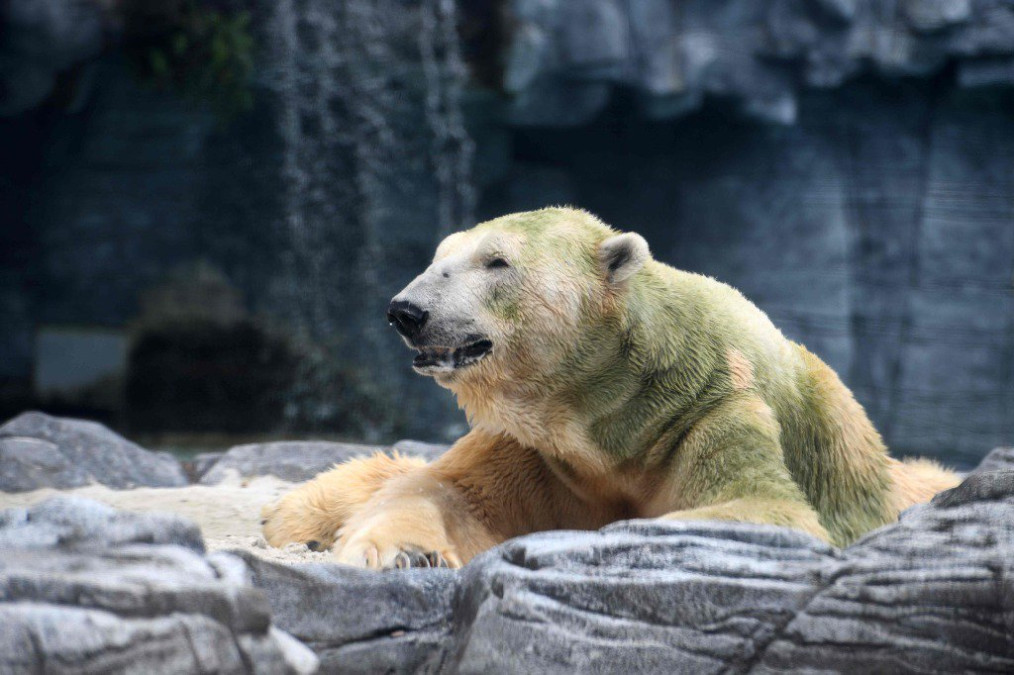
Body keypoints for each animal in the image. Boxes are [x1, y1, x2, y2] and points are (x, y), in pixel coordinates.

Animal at [261, 207, 959, 568]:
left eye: (496, 261)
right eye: (438, 258)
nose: (407, 311)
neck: (617, 416)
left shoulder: (716, 414)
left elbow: (764, 507)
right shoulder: (537, 447)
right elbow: (446, 494)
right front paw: (406, 553)